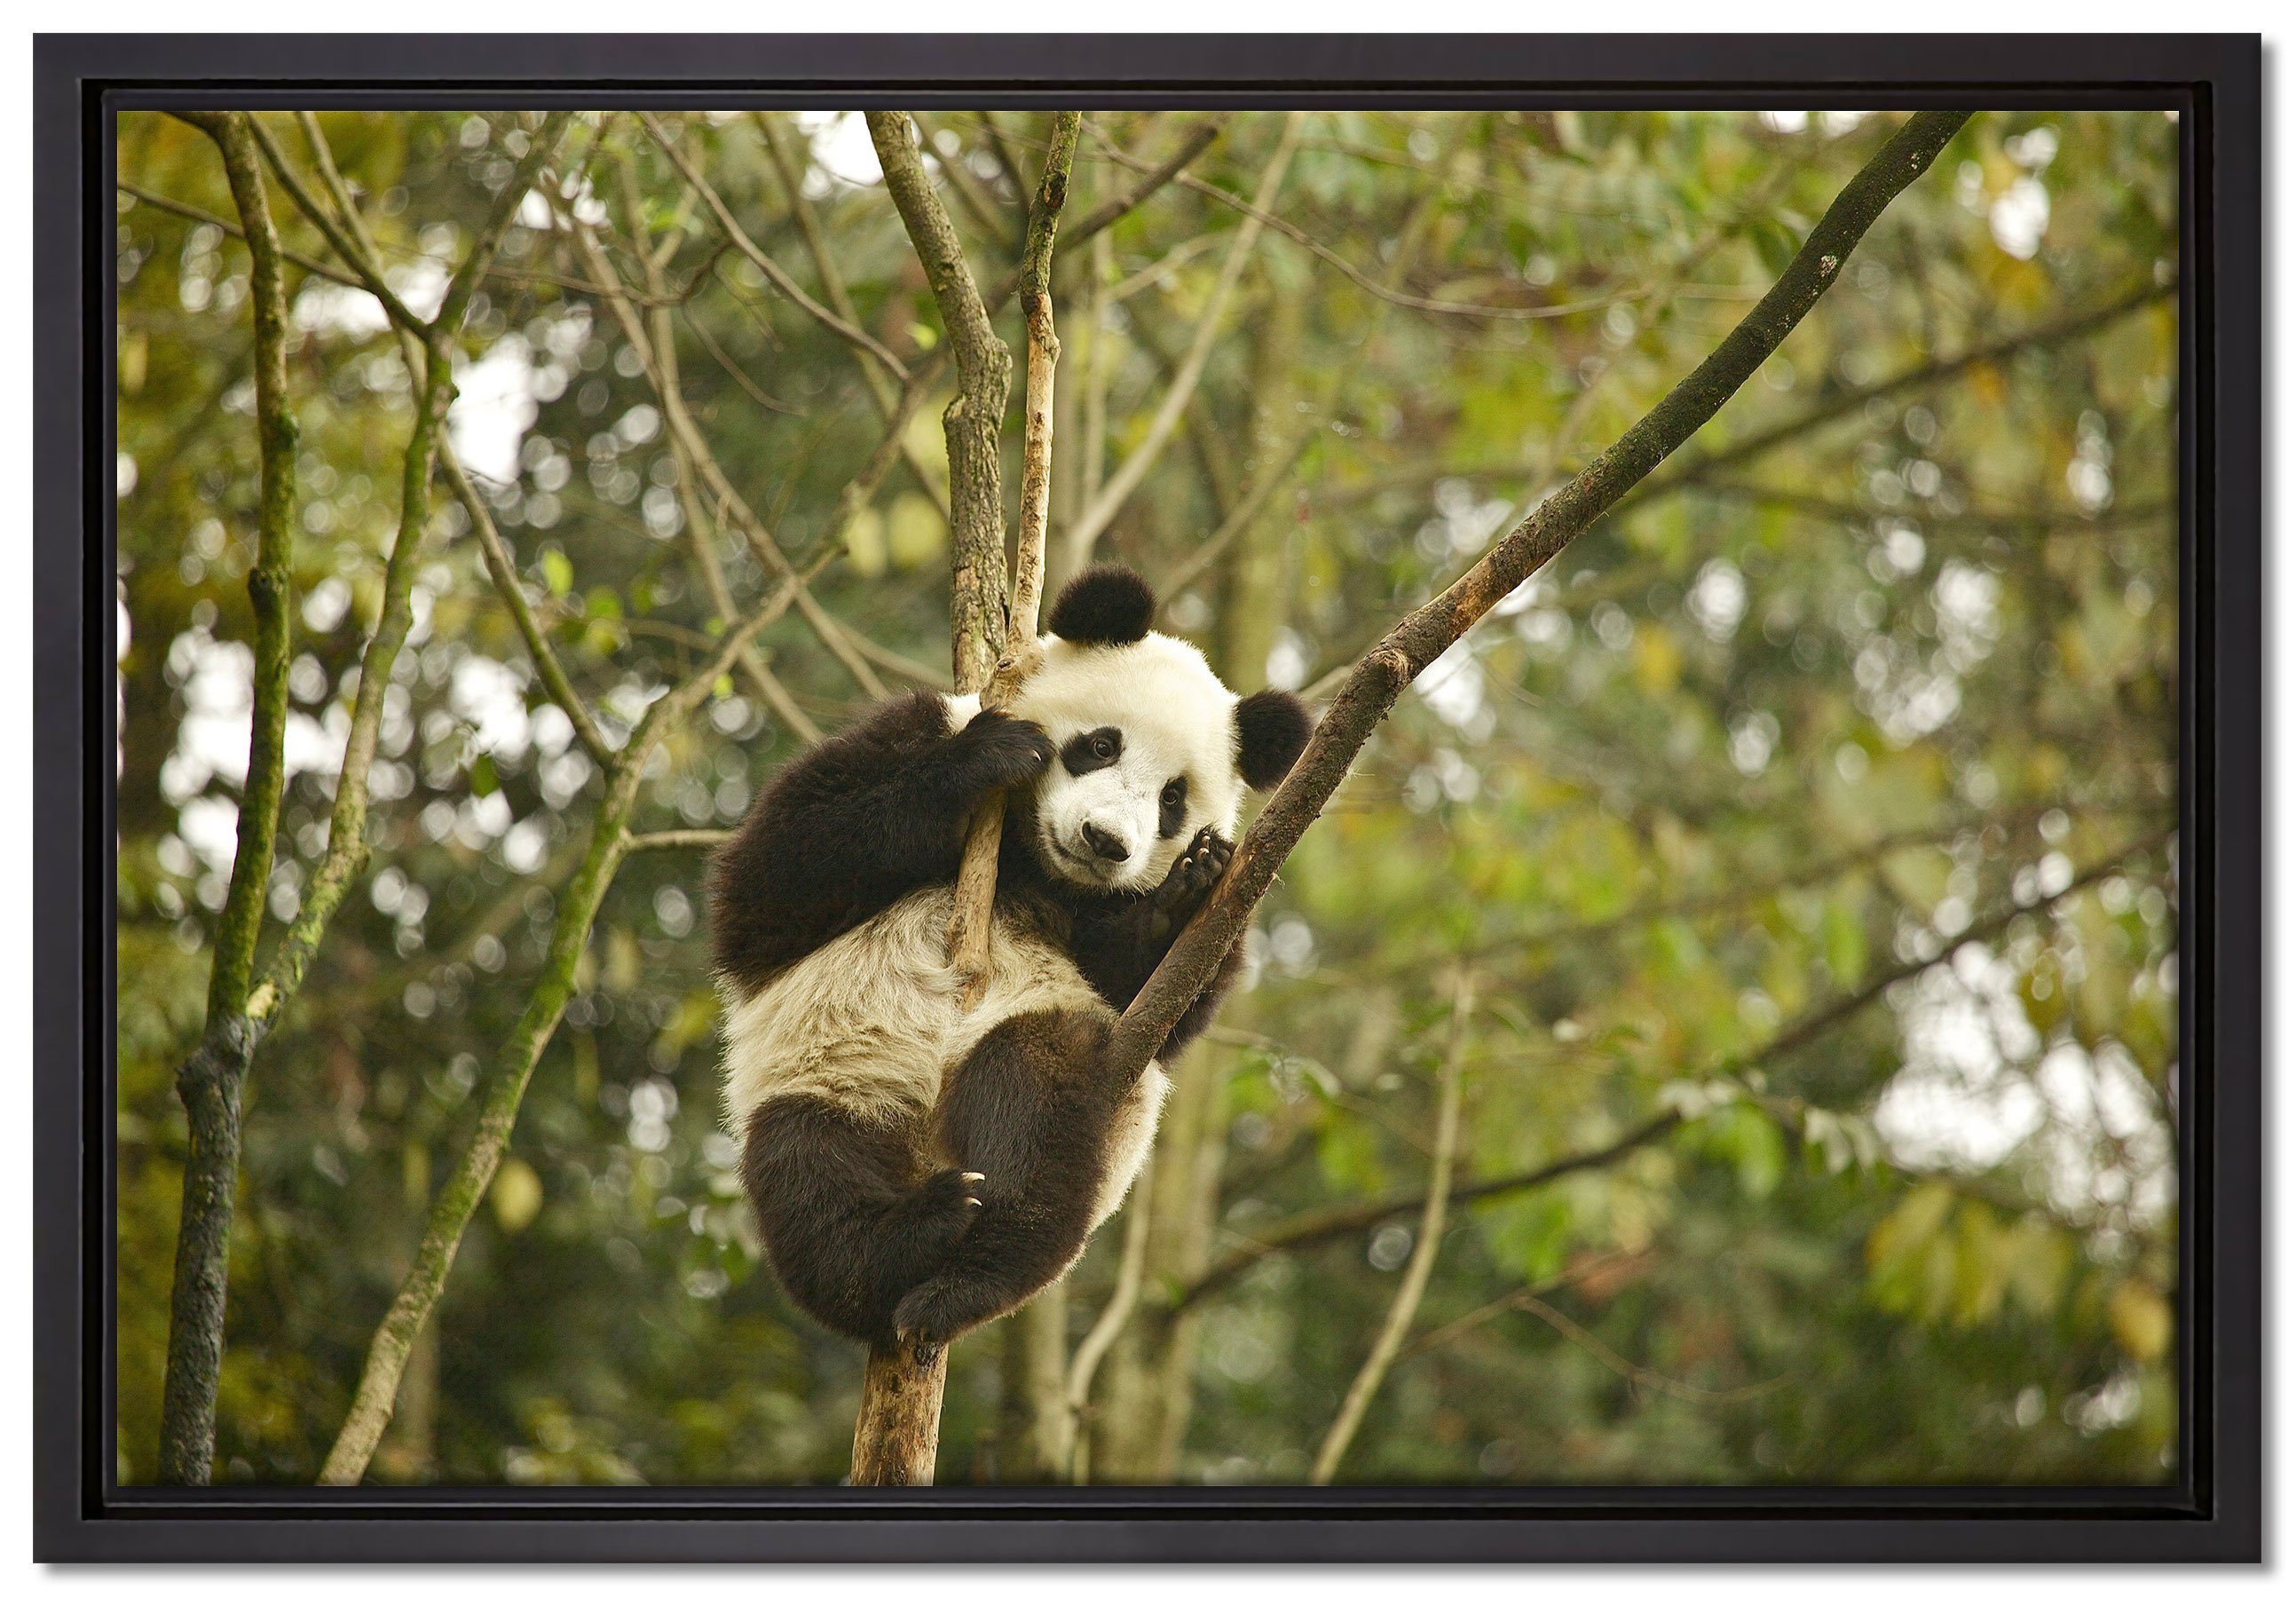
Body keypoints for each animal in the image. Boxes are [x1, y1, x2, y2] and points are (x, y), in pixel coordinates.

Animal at [706, 562, 1313, 1349]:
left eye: (1173, 800)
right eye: (1101, 745)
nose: (1104, 841)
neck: (1034, 864)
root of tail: (929, 1140)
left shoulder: (1119, 931)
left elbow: (1154, 998)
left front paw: (1187, 887)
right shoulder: (916, 727)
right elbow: (770, 881)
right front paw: (986, 757)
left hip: (1047, 1057)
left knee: (1037, 1105)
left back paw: (965, 1278)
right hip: (831, 1073)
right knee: (807, 1174)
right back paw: (905, 1238)